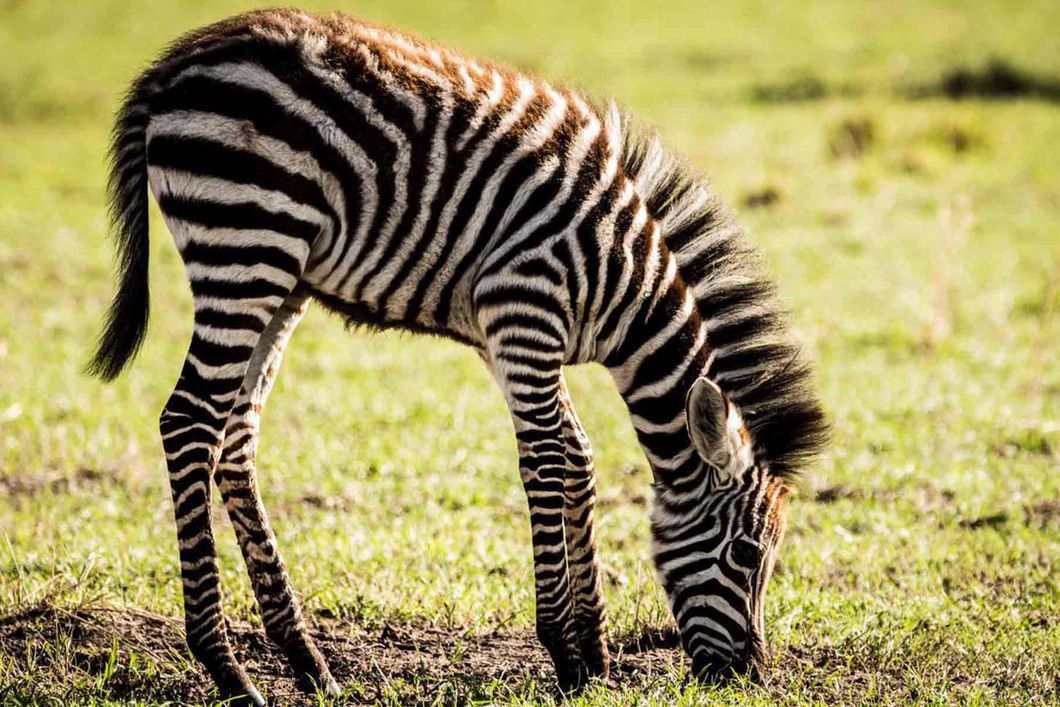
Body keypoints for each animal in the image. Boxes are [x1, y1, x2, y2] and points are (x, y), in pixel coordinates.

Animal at [89, 8, 826, 703]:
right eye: (747, 553)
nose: (749, 676)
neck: (622, 282)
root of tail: (176, 63)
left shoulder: (512, 337)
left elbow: (579, 457)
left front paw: (593, 651)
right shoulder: (526, 308)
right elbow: (548, 461)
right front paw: (564, 651)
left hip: (280, 275)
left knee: (234, 436)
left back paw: (307, 662)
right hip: (247, 241)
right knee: (189, 422)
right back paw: (227, 670)